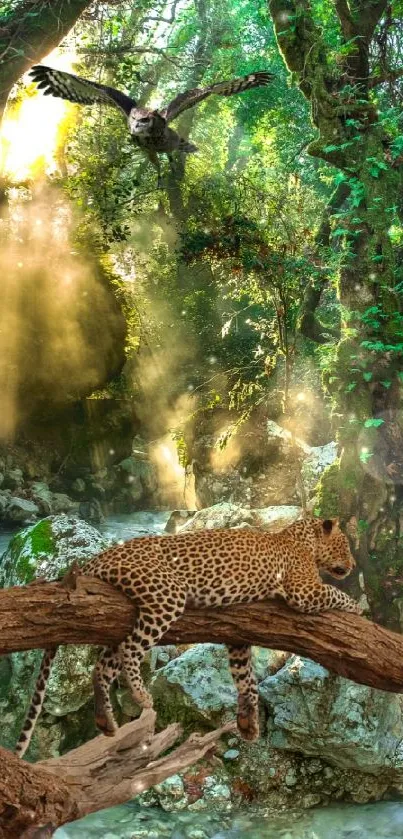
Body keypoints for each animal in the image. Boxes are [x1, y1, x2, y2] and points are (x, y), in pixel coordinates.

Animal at [15, 516, 360, 756]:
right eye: (345, 546)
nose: (354, 564)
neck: (302, 538)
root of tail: (101, 555)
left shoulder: (239, 636)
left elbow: (245, 678)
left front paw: (248, 724)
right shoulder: (304, 591)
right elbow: (334, 592)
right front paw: (357, 608)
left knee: (102, 666)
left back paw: (105, 721)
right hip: (166, 595)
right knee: (130, 651)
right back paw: (141, 696)